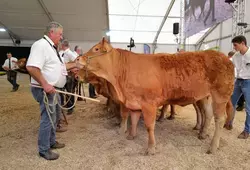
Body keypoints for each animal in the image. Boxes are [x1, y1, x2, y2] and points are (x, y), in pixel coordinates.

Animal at [76, 38, 234, 154]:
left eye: (96, 49)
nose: (78, 59)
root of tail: (223, 56)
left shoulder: (148, 104)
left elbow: (149, 126)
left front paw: (151, 148)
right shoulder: (134, 101)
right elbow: (134, 119)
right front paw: (131, 136)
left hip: (221, 95)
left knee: (220, 119)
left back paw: (213, 146)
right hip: (205, 96)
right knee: (208, 113)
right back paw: (202, 133)